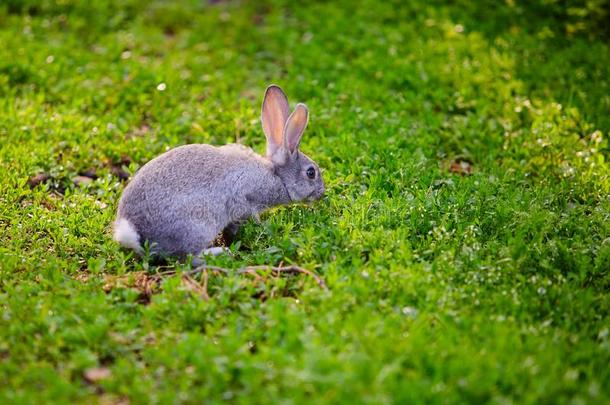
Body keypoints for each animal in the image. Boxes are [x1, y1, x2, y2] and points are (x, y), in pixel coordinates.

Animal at [112, 85, 326, 260]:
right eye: (311, 173)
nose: (322, 194)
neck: (276, 176)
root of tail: (134, 232)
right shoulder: (245, 197)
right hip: (198, 226)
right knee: (188, 257)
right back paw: (220, 252)